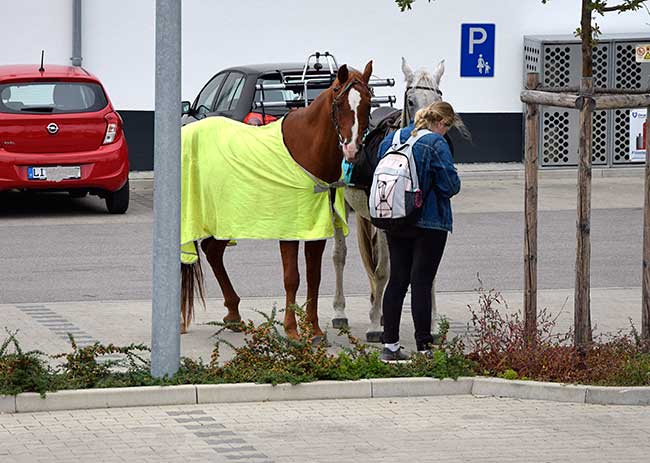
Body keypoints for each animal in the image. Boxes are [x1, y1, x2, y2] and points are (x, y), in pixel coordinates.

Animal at [180, 61, 372, 338]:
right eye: (339, 101)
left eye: (368, 102)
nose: (352, 150)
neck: (305, 150)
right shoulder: (289, 228)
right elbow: (292, 277)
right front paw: (292, 332)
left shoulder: (316, 228)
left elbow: (314, 276)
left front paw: (314, 331)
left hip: (226, 217)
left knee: (213, 252)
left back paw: (233, 313)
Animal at [330, 57, 446, 340]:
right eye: (411, 100)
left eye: (438, 99)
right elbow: (383, 271)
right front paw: (373, 325)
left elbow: (427, 271)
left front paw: (433, 325)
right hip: (340, 206)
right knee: (340, 255)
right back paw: (341, 312)